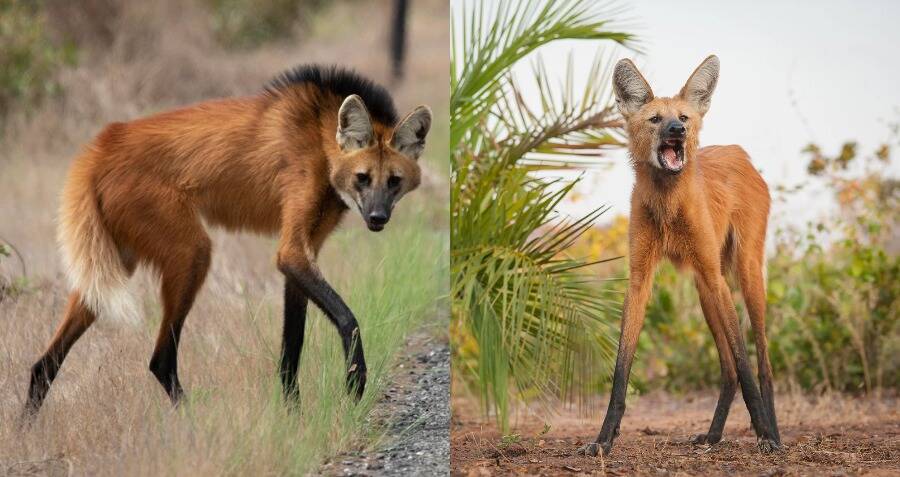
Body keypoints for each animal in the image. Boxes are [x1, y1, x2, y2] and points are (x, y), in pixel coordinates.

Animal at [26, 64, 434, 416]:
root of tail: (99, 147)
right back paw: (193, 422)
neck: (320, 139)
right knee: (160, 359)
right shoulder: (292, 250)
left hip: (111, 266)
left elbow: (292, 346)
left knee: (44, 363)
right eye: (363, 178)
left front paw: (292, 416)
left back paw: (26, 428)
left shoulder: (303, 256)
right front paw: (353, 381)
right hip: (191, 253)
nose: (377, 218)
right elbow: (347, 319)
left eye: (393, 181)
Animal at [584, 54, 780, 454]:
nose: (677, 131)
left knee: (761, 365)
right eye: (655, 119)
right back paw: (714, 435)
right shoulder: (640, 279)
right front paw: (604, 439)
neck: (668, 204)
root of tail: (739, 152)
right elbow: (620, 371)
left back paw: (774, 432)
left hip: (743, 275)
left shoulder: (718, 278)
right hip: (705, 289)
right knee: (727, 370)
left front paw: (765, 434)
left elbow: (746, 365)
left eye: (684, 118)